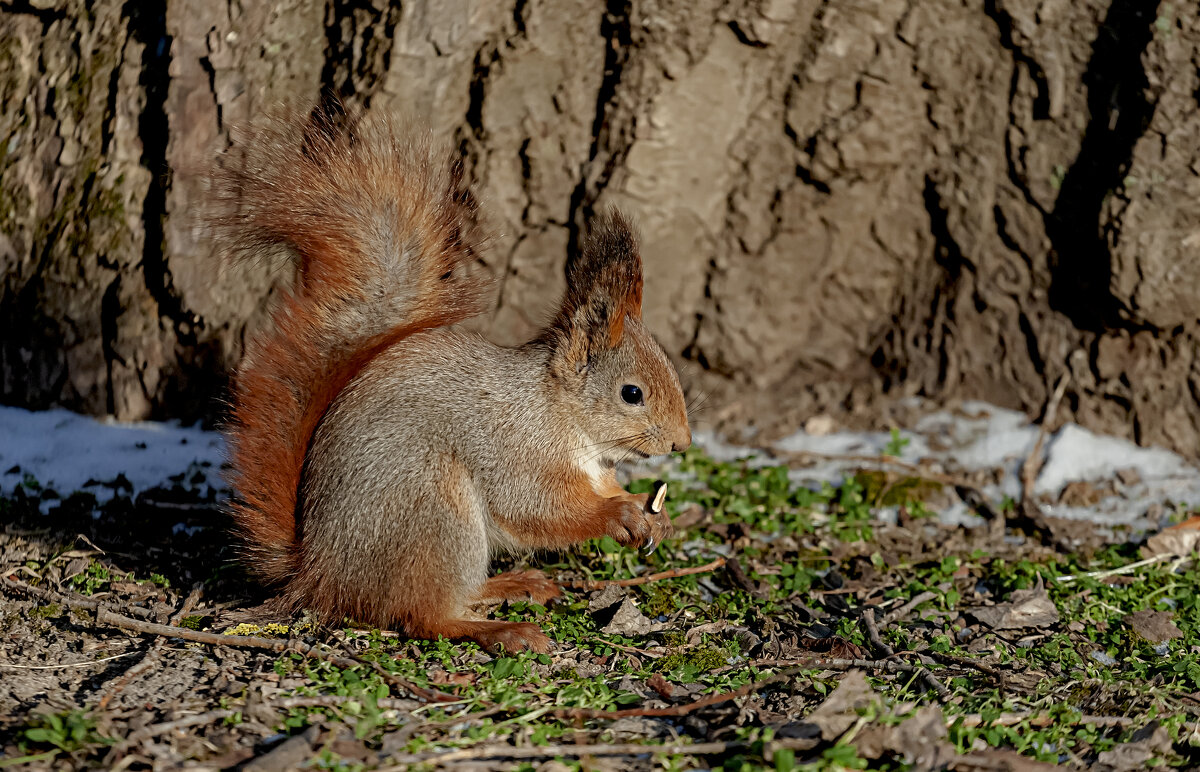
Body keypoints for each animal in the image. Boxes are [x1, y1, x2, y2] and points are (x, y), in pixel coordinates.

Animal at [211, 107, 691, 653]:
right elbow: (540, 509)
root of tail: (320, 571)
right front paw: (618, 516)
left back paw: (514, 585)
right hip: (434, 512)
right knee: (421, 614)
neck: (562, 417)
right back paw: (503, 630)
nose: (681, 444)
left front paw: (653, 514)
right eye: (632, 394)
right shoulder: (513, 451)